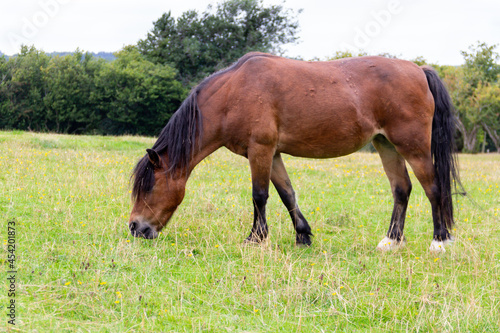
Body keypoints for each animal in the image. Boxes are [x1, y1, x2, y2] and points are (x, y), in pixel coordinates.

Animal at [128, 52, 460, 252]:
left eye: (150, 187)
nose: (135, 227)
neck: (233, 93)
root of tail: (419, 70)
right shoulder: (272, 154)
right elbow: (287, 194)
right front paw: (303, 235)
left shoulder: (260, 150)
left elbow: (260, 195)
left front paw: (256, 238)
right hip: (386, 145)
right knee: (401, 189)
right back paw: (391, 241)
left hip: (413, 147)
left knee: (433, 188)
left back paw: (440, 241)